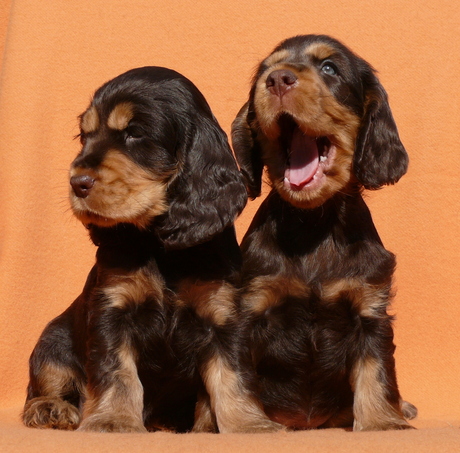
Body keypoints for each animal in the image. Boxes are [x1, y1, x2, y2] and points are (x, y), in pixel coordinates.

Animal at [22, 66, 276, 430]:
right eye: (84, 136)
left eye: (135, 133)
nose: (77, 183)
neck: (159, 243)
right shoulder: (112, 310)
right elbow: (117, 371)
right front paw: (112, 419)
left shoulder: (222, 314)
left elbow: (233, 376)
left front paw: (249, 425)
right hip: (53, 338)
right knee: (46, 379)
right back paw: (49, 408)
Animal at [232, 35, 416, 430]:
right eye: (265, 71)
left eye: (329, 68)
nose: (278, 79)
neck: (314, 222)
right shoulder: (248, 306)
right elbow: (236, 377)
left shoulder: (369, 307)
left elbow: (377, 372)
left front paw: (383, 422)